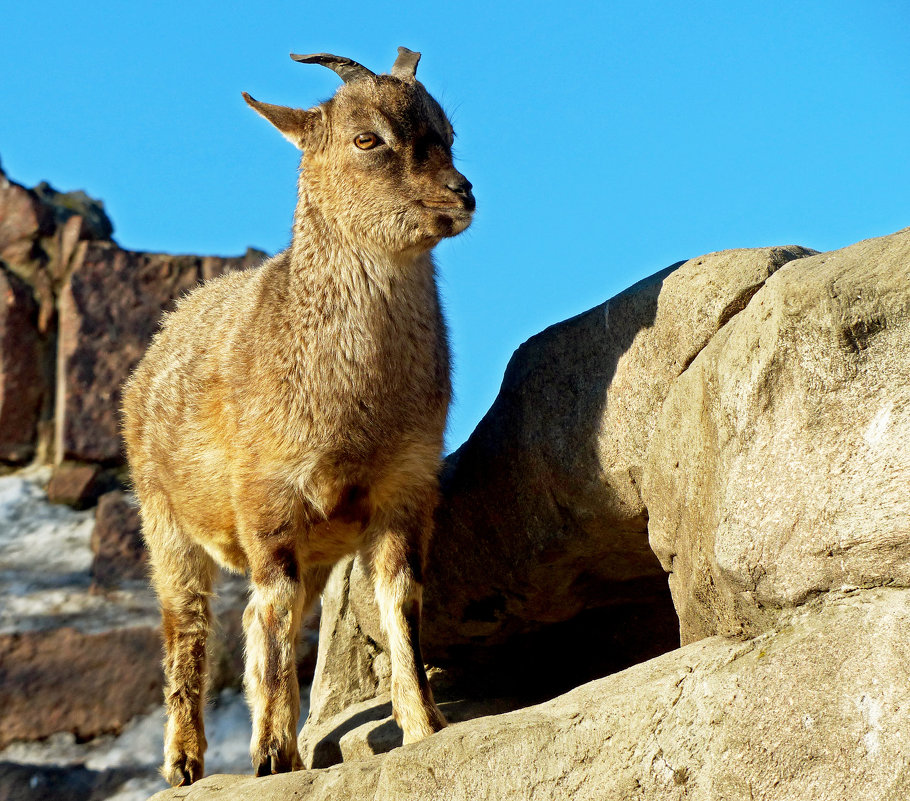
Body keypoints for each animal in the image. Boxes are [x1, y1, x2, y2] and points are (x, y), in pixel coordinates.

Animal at [123, 48, 478, 788]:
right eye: (367, 139)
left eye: (447, 132)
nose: (461, 194)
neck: (356, 409)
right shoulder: (268, 499)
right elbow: (277, 613)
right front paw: (270, 754)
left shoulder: (406, 488)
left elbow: (400, 603)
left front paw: (426, 726)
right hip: (163, 521)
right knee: (190, 628)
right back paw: (185, 761)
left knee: (254, 622)